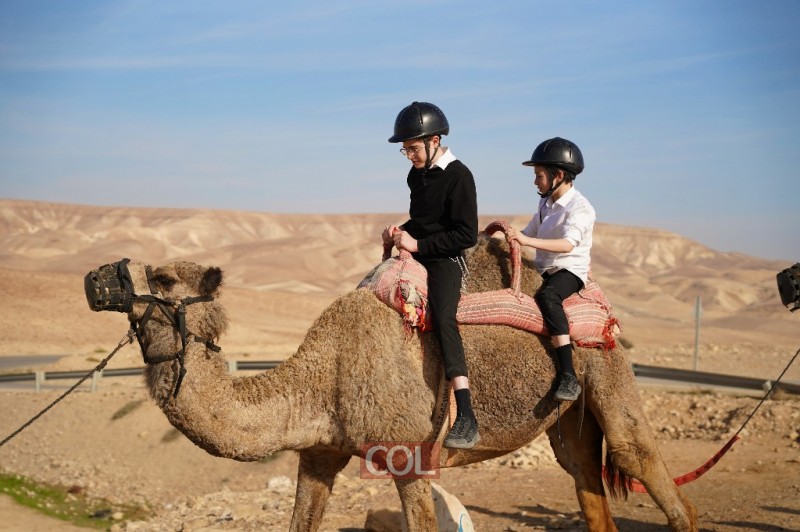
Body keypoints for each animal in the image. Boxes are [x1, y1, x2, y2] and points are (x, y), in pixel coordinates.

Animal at [89, 230, 698, 531]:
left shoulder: (411, 455)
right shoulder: (319, 453)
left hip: (604, 363)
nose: (97, 276)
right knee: (585, 478)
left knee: (641, 458)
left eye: (163, 278)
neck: (324, 374)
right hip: (567, 418)